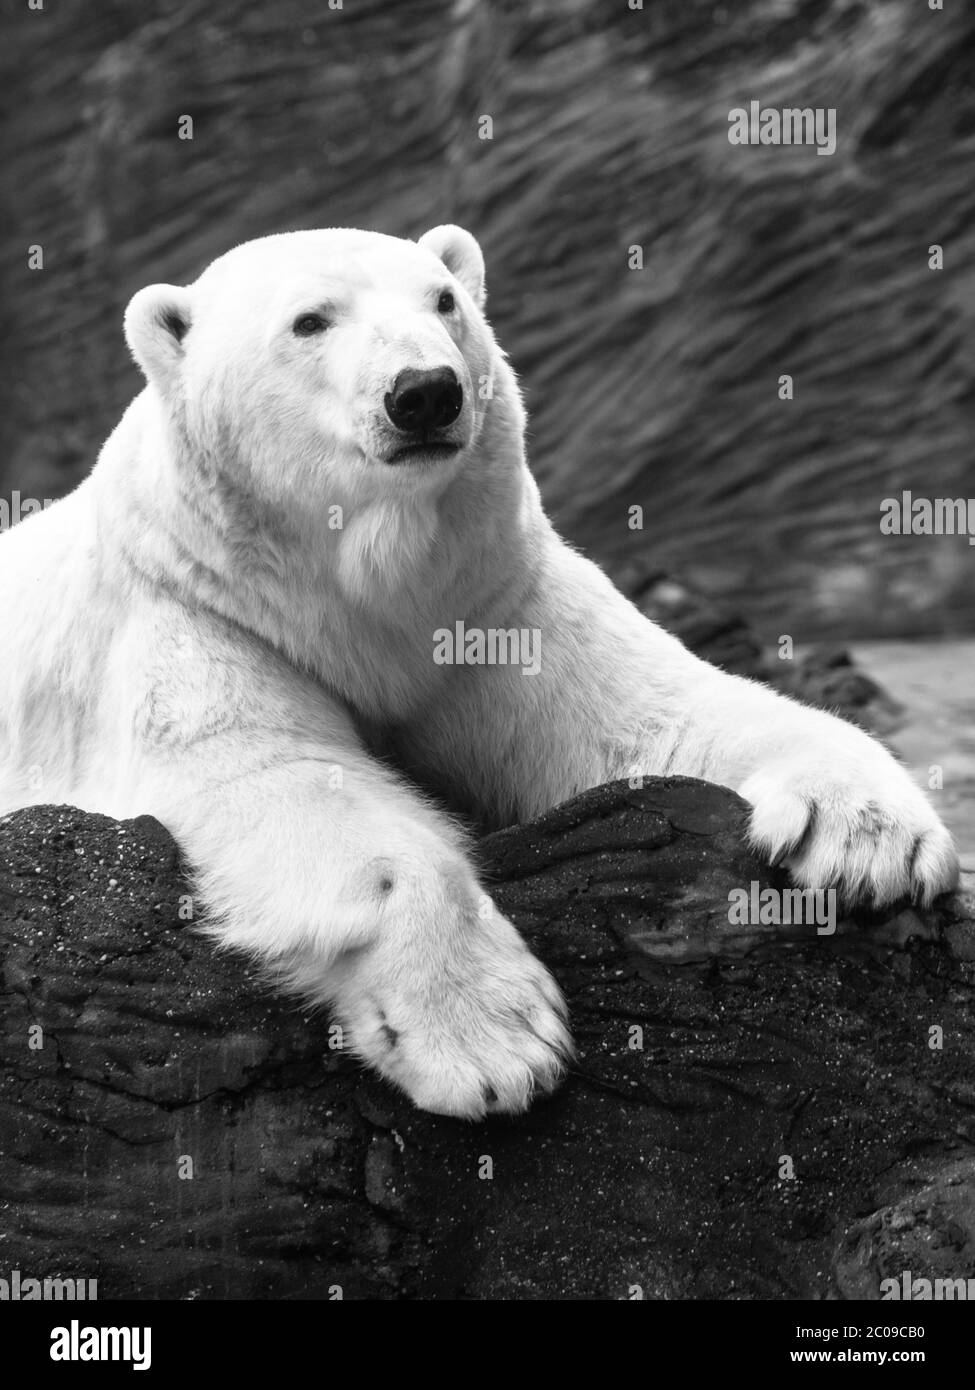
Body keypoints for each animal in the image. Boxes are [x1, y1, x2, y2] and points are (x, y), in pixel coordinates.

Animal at [0, 225, 959, 1117]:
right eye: (310, 320)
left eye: (443, 300)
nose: (425, 391)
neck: (358, 594)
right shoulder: (200, 611)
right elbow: (275, 776)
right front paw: (490, 1041)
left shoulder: (489, 604)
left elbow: (653, 716)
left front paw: (871, 835)